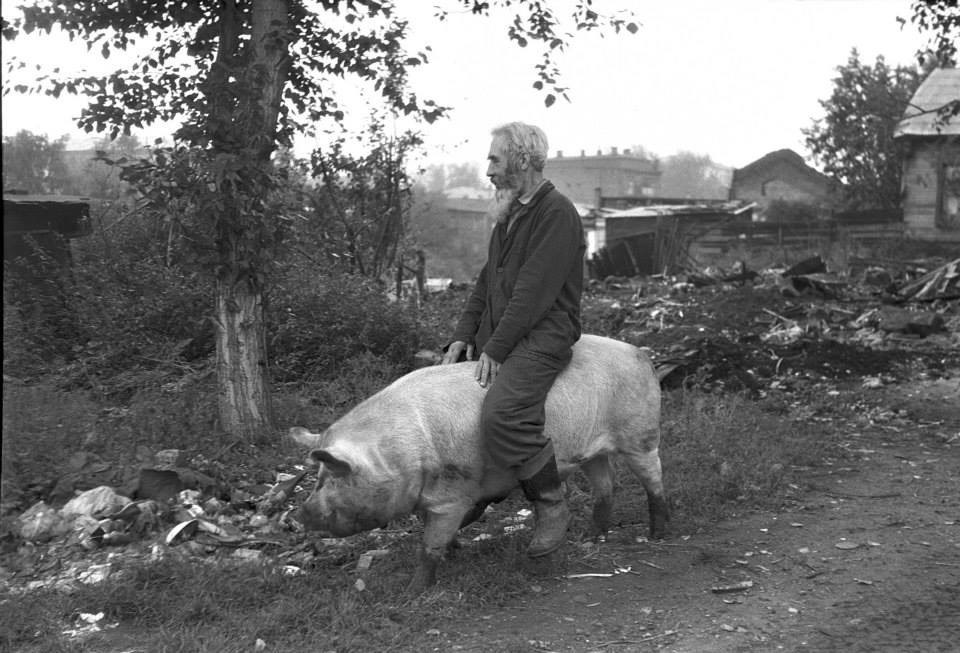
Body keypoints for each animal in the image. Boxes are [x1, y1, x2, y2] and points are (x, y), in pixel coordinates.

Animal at [288, 334, 668, 588]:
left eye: (335, 476)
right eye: (318, 476)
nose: (299, 515)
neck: (404, 454)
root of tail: (640, 353)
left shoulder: (451, 494)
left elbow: (430, 545)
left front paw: (414, 591)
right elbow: (443, 528)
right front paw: (457, 550)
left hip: (640, 434)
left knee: (654, 480)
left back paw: (657, 535)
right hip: (592, 449)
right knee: (607, 485)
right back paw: (590, 539)